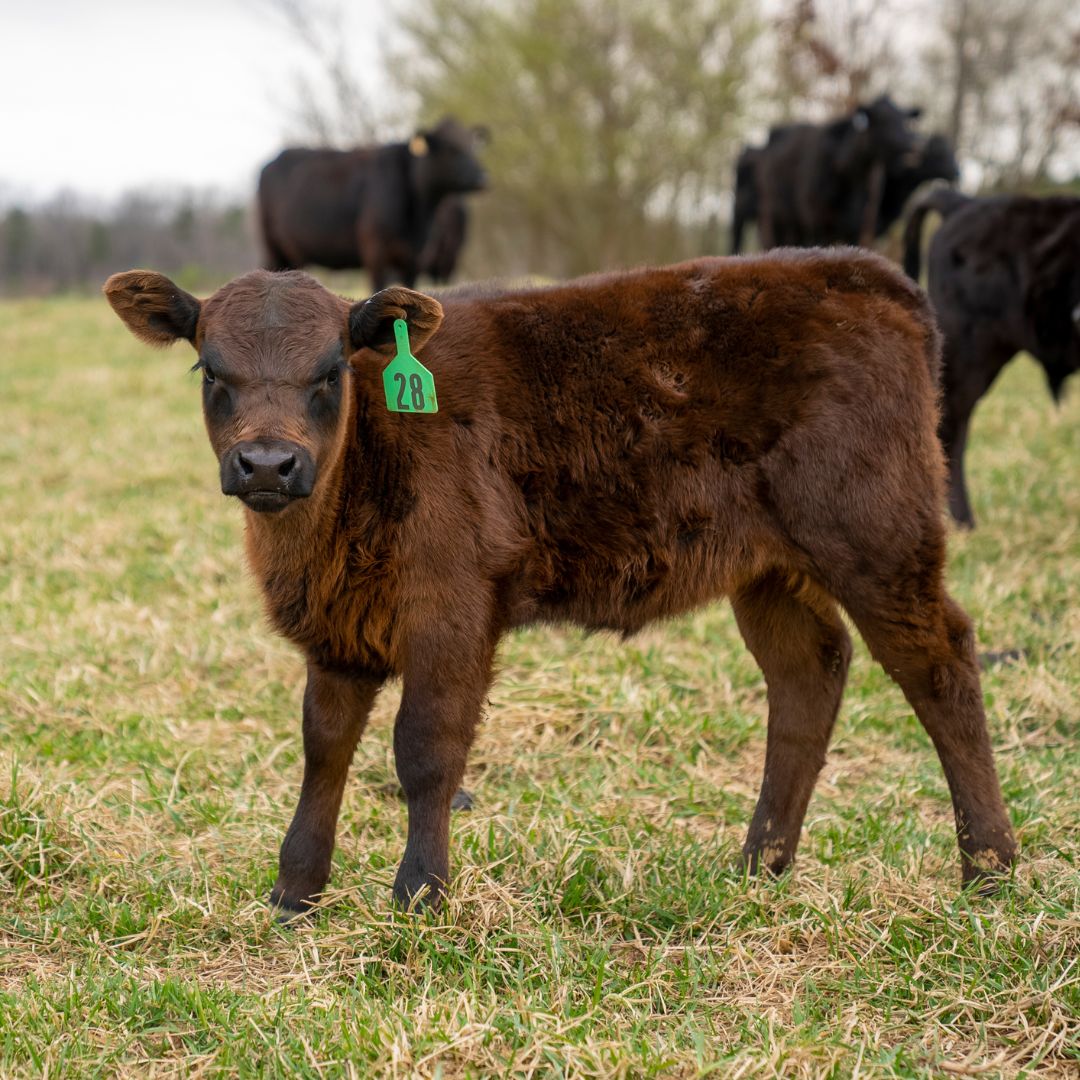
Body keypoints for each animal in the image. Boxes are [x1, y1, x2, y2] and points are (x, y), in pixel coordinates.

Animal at [103, 250, 1017, 918]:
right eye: (210, 371)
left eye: (331, 370)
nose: (267, 463)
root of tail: (866, 272)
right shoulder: (339, 631)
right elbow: (324, 745)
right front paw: (295, 891)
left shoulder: (453, 612)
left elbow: (425, 750)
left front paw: (420, 896)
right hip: (768, 568)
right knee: (808, 674)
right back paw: (759, 865)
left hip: (877, 538)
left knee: (941, 665)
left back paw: (989, 869)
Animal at [257, 118, 487, 291]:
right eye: (451, 149)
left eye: (473, 147)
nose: (481, 177)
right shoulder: (375, 252)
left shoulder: (414, 260)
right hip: (272, 247)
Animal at [730, 97, 926, 253]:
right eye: (882, 121)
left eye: (906, 121)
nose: (914, 145)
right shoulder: (818, 223)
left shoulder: (858, 227)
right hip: (776, 219)